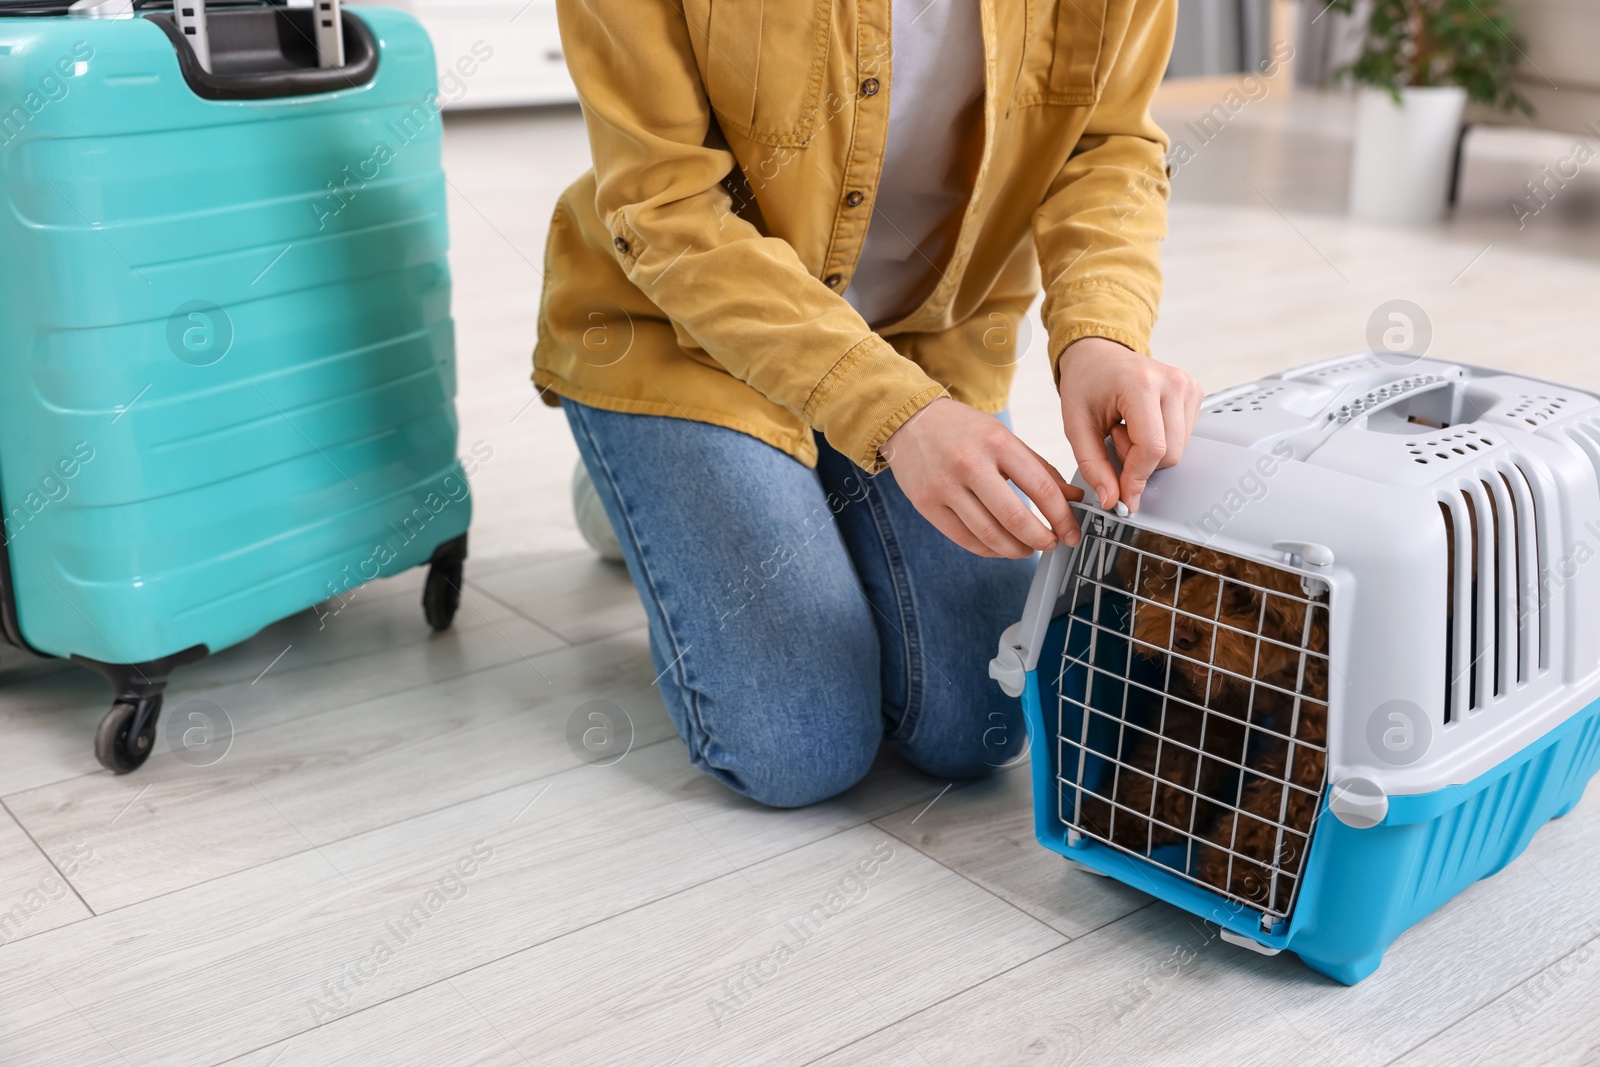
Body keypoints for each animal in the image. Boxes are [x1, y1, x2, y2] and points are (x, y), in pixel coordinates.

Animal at [1081, 531, 1331, 915]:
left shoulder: (1312, 737)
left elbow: (1283, 805)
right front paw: (1130, 814)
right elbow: (1174, 761)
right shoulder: (1210, 702)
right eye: (1183, 566)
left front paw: (1246, 875)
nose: (1182, 636)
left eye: (1243, 588)